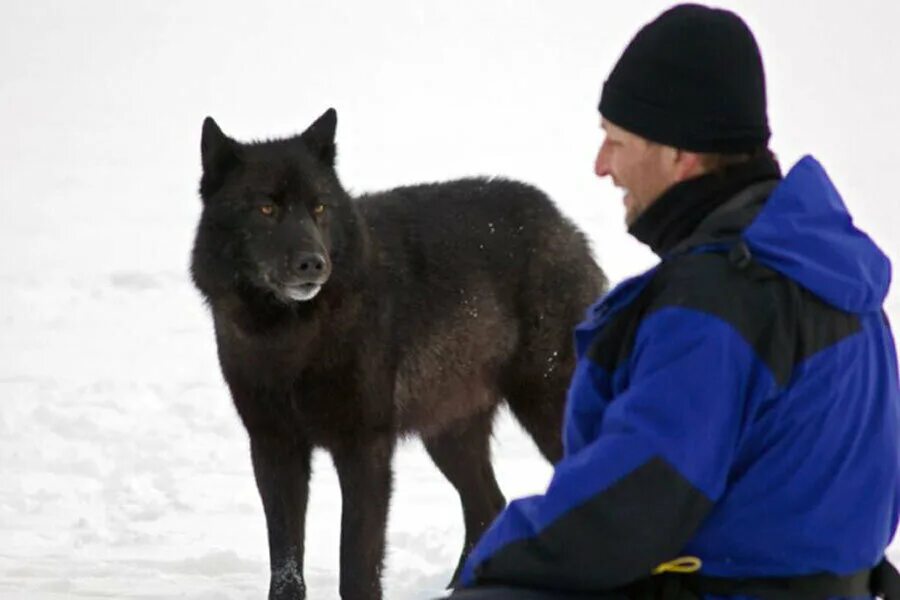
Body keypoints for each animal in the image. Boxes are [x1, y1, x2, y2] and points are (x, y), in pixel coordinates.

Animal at [192, 109, 608, 600]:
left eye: (319, 208)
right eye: (266, 208)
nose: (314, 263)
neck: (292, 340)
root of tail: (562, 222)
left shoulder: (364, 448)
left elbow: (357, 565)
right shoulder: (274, 448)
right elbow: (286, 565)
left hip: (544, 409)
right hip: (448, 433)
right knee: (489, 505)